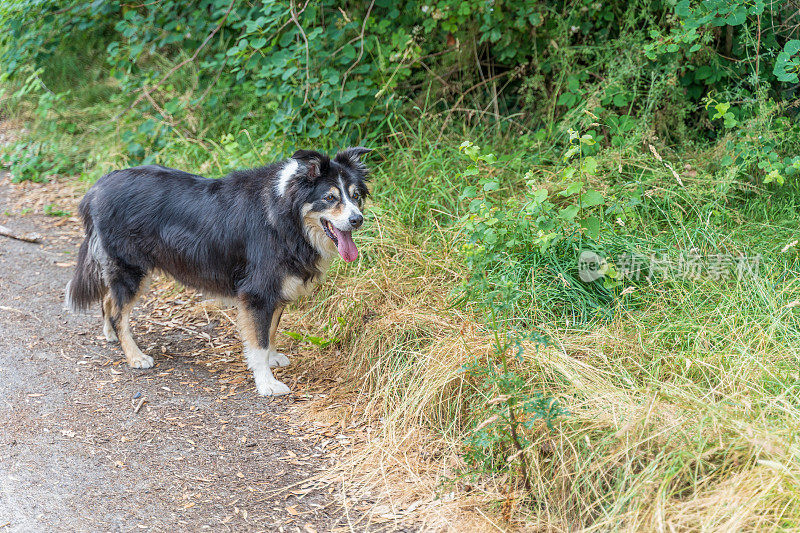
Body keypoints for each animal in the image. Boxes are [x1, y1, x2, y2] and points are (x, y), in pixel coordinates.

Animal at [65, 147, 372, 394]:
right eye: (330, 198)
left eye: (355, 196)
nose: (358, 220)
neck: (286, 216)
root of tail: (98, 187)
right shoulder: (258, 292)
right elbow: (259, 341)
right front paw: (267, 383)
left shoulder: (276, 290)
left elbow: (271, 331)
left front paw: (273, 358)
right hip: (131, 269)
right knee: (119, 313)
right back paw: (134, 356)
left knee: (109, 300)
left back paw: (111, 335)